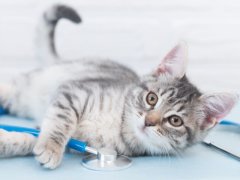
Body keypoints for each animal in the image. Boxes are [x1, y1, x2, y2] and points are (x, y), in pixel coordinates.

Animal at [0, 4, 237, 170]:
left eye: (175, 121)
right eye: (152, 98)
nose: (148, 121)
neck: (117, 125)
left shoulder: (82, 142)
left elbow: (33, 138)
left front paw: (13, 141)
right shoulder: (74, 91)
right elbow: (60, 121)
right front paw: (50, 146)